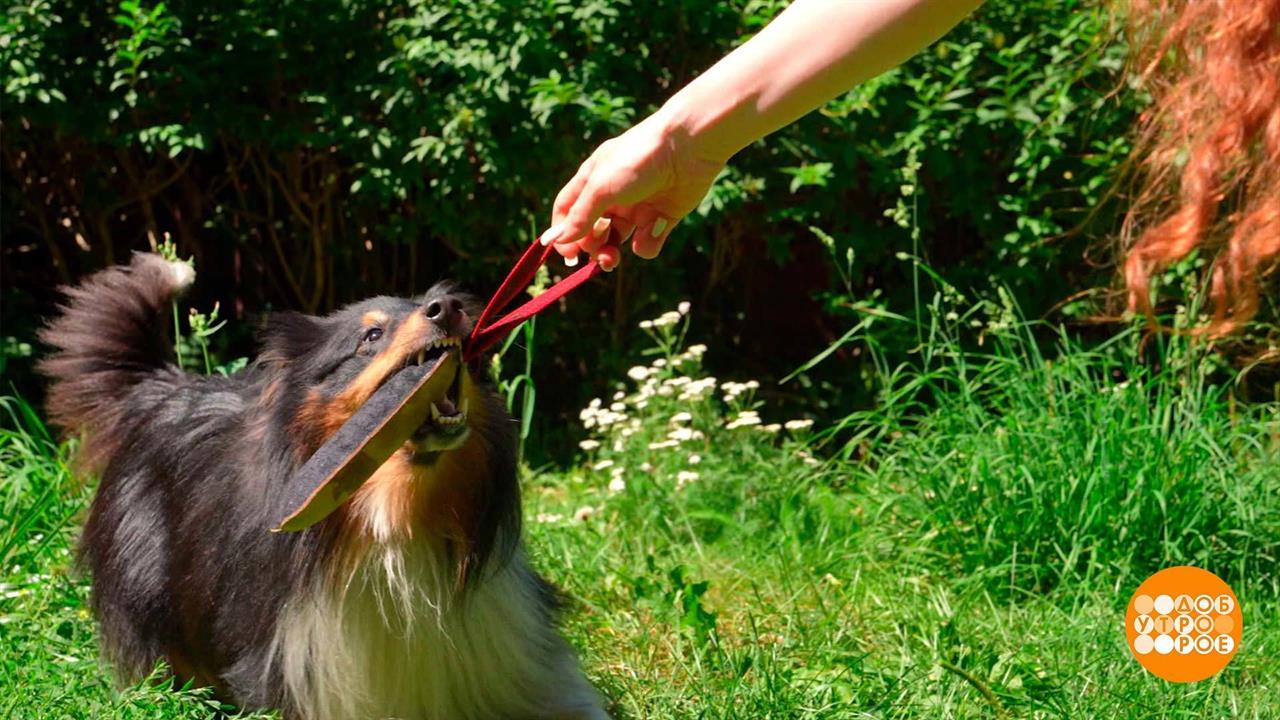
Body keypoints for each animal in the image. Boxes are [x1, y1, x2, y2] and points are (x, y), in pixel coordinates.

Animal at [42, 253, 611, 717]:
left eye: (441, 307)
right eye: (371, 336)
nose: (447, 308)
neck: (399, 523)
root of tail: (163, 388)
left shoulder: (517, 660)